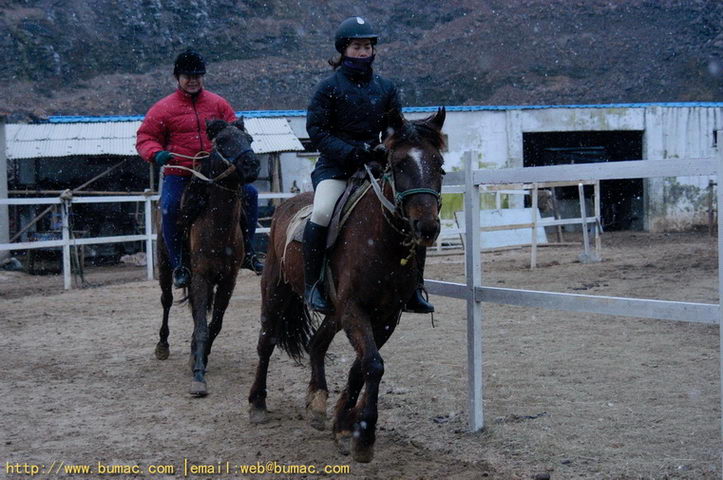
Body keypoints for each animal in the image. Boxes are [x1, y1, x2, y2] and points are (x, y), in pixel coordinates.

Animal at [154, 119, 258, 398]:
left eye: (249, 139)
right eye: (222, 141)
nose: (252, 165)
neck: (217, 227)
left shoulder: (227, 281)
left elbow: (214, 324)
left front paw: (199, 356)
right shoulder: (200, 277)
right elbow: (202, 326)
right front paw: (199, 375)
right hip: (165, 267)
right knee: (167, 301)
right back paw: (162, 345)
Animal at [246, 108, 444, 462]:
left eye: (440, 165)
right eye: (399, 164)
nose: (426, 227)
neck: (381, 241)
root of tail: (285, 205)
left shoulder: (386, 316)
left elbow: (361, 367)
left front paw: (342, 425)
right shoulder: (354, 309)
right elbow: (373, 365)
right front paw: (363, 437)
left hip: (333, 311)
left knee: (316, 344)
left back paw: (317, 402)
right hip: (276, 292)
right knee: (266, 343)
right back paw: (258, 403)